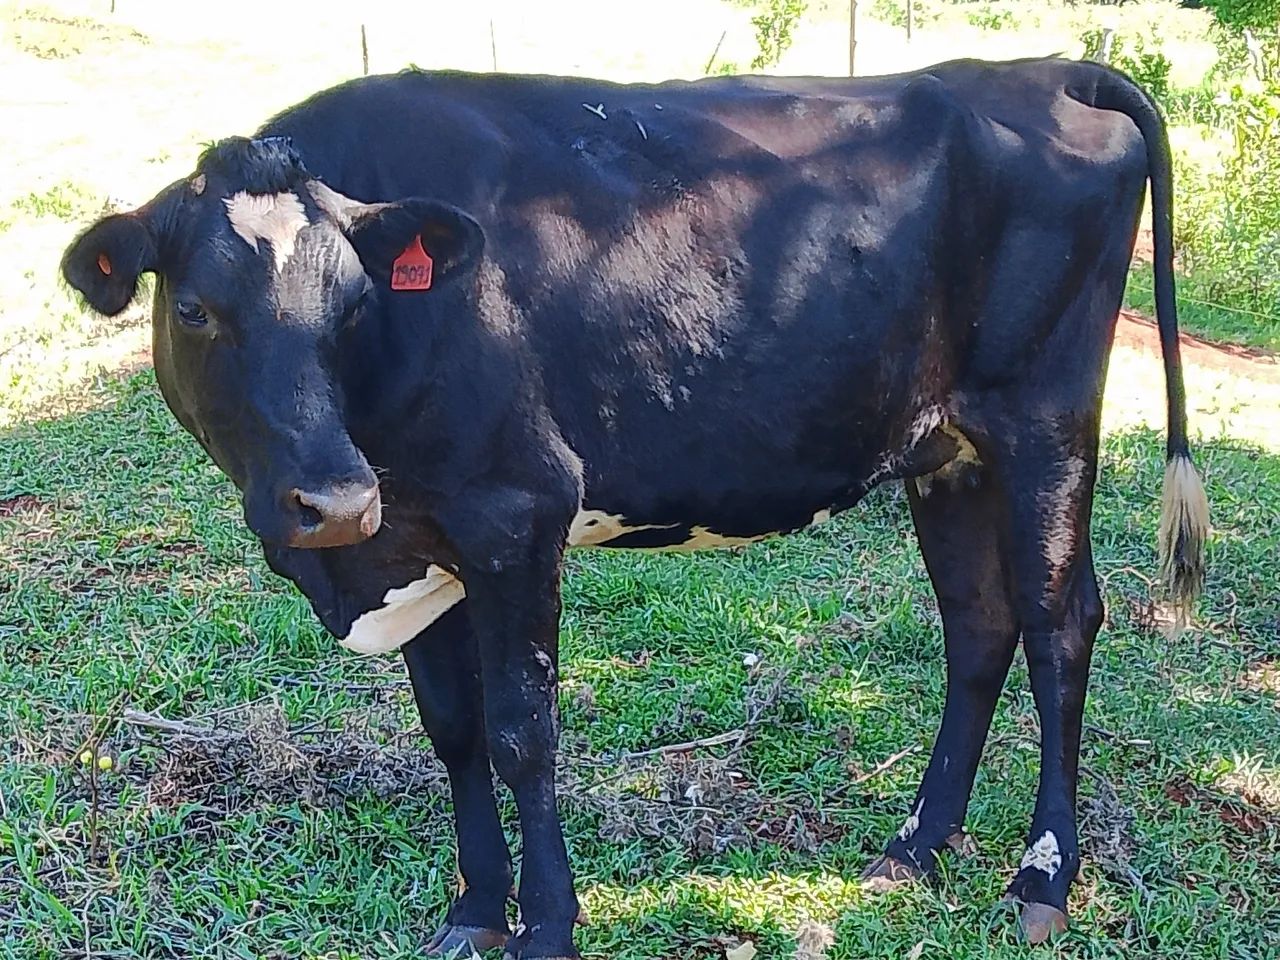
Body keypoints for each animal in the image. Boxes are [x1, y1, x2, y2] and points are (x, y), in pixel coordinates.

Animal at [62, 57, 1208, 957]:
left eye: (352, 305)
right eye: (196, 308)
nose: (337, 498)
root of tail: (1045, 70)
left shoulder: (515, 513)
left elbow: (522, 731)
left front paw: (547, 926)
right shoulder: (420, 535)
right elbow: (453, 729)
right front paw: (474, 913)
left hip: (1043, 420)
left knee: (1059, 626)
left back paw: (1041, 879)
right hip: (948, 451)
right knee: (978, 626)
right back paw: (914, 847)